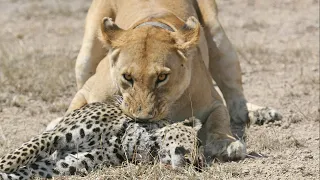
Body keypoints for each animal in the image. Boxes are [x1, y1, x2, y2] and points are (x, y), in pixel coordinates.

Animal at [0, 100, 202, 179]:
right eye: (198, 143)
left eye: (199, 165)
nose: (198, 164)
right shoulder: (55, 135)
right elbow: (13, 158)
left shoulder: (56, 167)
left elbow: (17, 174)